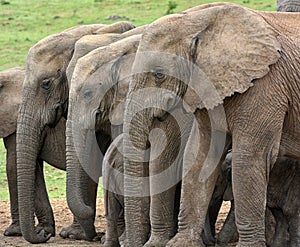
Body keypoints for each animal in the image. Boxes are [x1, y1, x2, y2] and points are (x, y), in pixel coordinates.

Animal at [123, 2, 300, 247]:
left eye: (159, 75)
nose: (131, 243)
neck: (198, 20)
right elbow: (200, 155)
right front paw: (181, 244)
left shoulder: (266, 86)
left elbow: (248, 159)